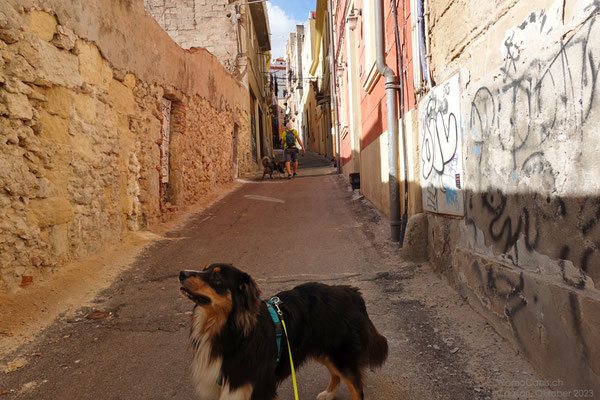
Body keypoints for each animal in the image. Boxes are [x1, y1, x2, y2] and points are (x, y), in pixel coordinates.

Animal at [178, 264, 390, 398]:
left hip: (340, 354)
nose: (181, 273)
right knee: (336, 373)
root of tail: (352, 292)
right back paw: (328, 394)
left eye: (216, 277)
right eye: (203, 269)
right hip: (321, 350)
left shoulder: (255, 387)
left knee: (356, 389)